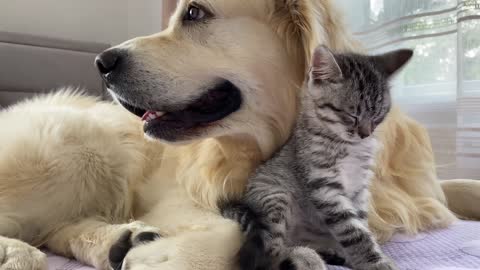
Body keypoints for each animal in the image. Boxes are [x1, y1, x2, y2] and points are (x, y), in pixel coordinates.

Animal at [220, 45, 412, 268]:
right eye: (352, 115)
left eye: (378, 117)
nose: (365, 134)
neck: (349, 146)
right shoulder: (324, 186)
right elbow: (353, 232)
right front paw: (375, 262)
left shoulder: (360, 188)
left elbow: (361, 224)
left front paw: (362, 257)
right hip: (275, 196)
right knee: (271, 253)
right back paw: (306, 257)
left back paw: (330, 253)